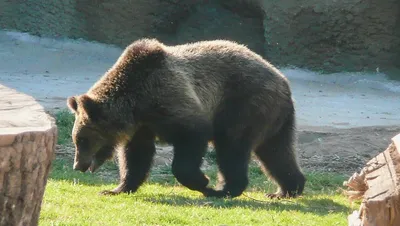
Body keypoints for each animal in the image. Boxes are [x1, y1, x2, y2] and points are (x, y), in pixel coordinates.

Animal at [68, 38, 306, 199]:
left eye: (82, 140)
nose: (78, 165)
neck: (136, 103)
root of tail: (283, 81)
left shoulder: (170, 99)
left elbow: (192, 135)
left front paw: (203, 182)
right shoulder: (142, 126)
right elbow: (136, 156)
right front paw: (116, 188)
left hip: (244, 104)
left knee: (232, 145)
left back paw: (224, 190)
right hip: (275, 119)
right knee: (276, 151)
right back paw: (286, 189)